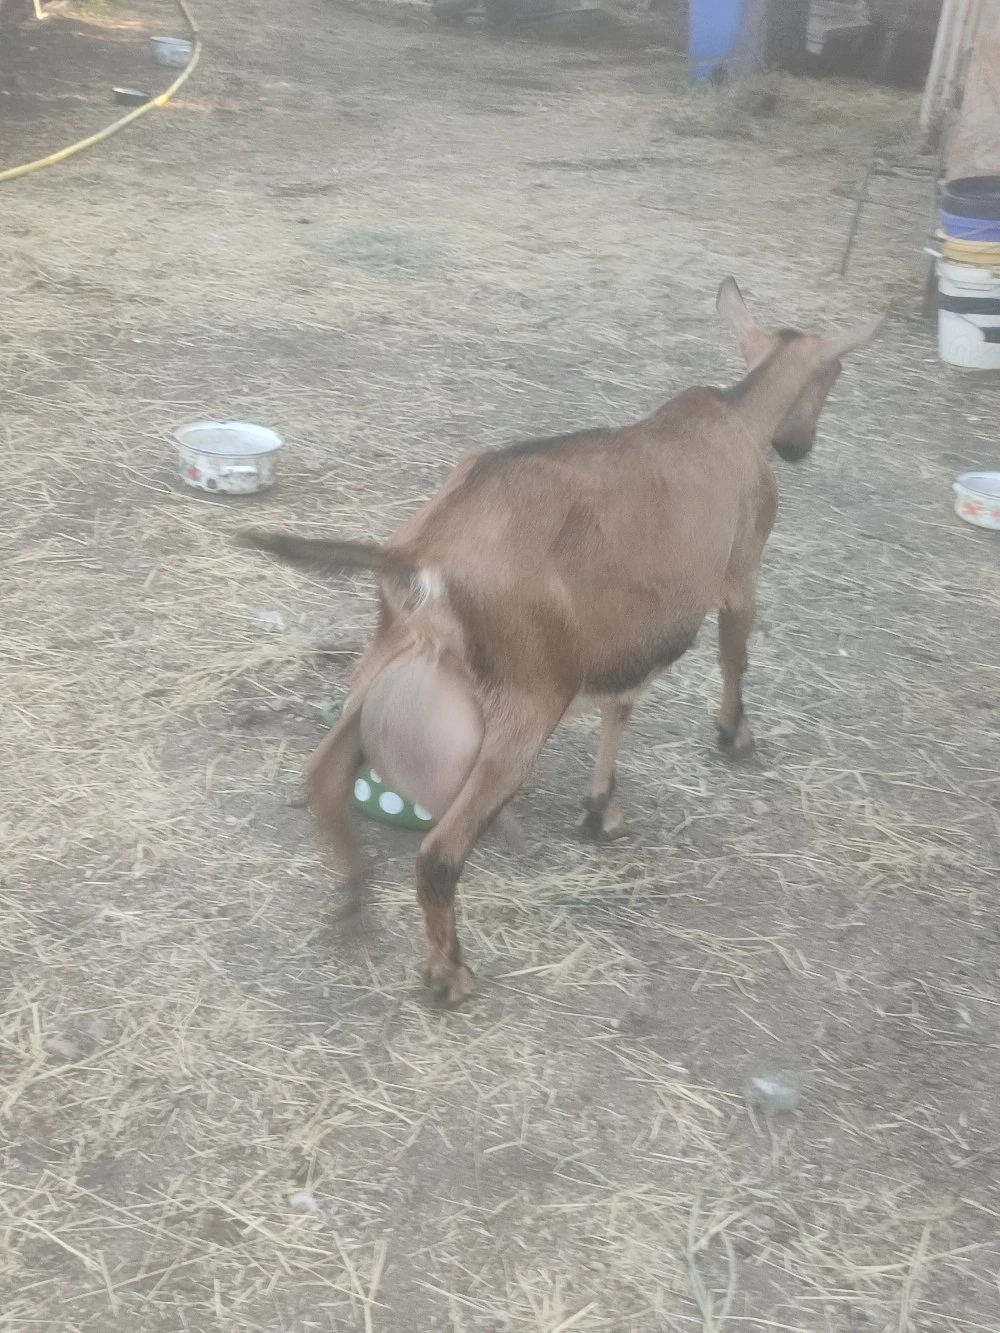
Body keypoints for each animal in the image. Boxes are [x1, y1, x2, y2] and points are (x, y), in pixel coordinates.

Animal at [238, 278, 881, 1005]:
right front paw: (733, 737)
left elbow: (621, 704)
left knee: (323, 776)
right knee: (439, 854)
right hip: (528, 694)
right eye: (834, 374)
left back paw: (351, 903)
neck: (739, 417)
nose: (801, 447)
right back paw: (449, 976)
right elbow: (734, 655)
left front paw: (601, 808)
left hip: (389, 663)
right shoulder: (740, 571)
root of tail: (418, 556)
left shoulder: (624, 633)